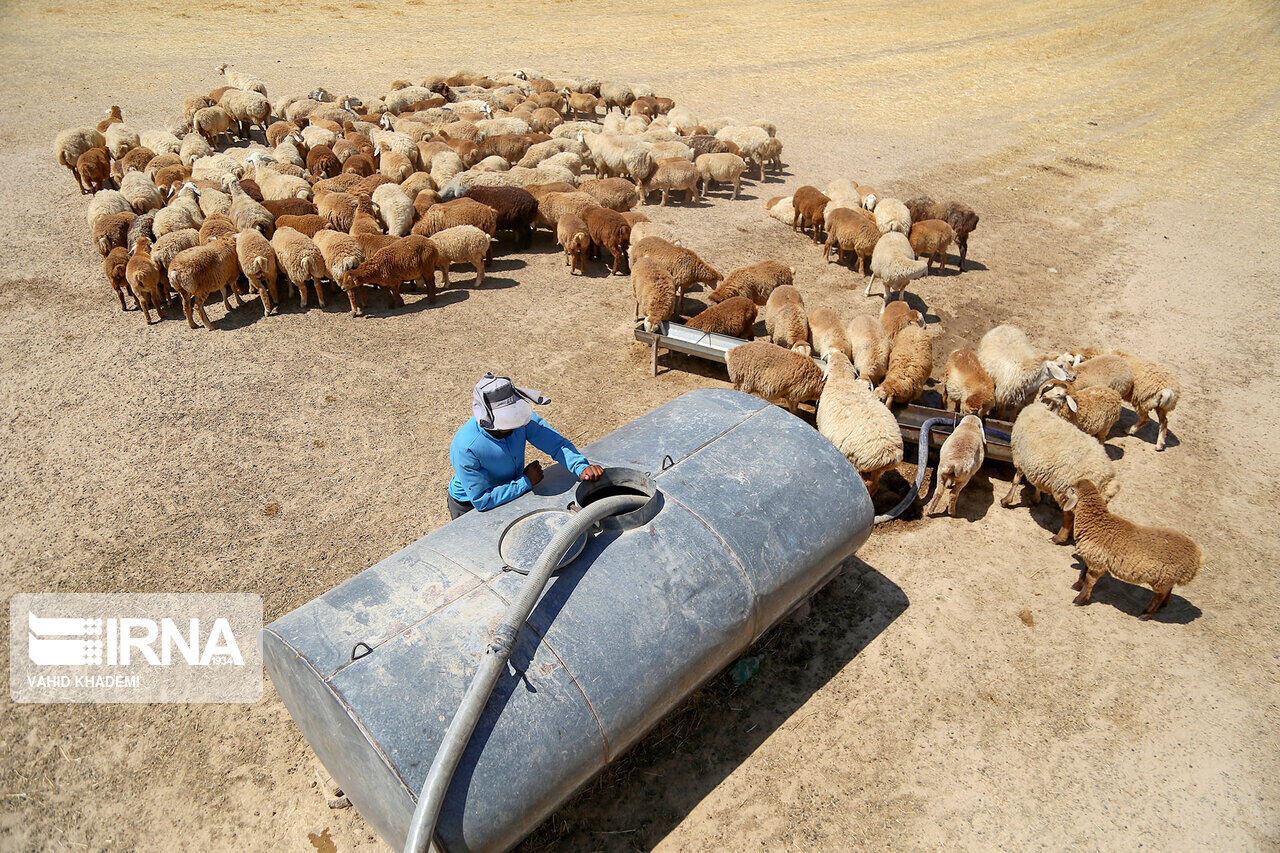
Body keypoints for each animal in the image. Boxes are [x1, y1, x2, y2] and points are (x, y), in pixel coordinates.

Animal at [1059, 479, 1198, 617]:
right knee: (1168, 590)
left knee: (1159, 596)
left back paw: (1146, 614)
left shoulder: (1097, 563)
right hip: (1167, 579)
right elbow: (1083, 572)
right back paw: (1163, 605)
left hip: (1164, 579)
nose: (1063, 489)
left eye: (1071, 488)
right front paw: (1077, 585)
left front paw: (1080, 599)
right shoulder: (1093, 557)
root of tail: (1197, 558)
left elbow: (1089, 581)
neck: (1096, 523)